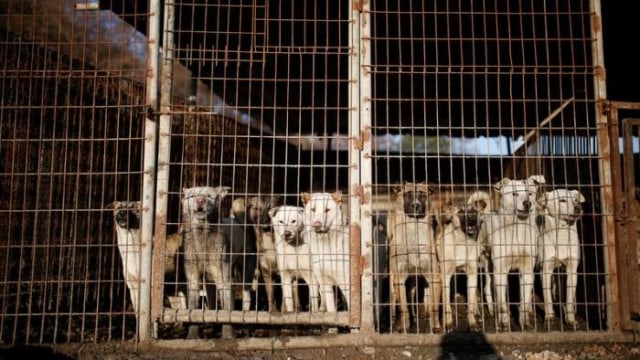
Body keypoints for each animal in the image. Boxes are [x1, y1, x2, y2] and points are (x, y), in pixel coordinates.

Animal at [388, 183, 442, 332]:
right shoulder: (399, 277)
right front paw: (404, 326)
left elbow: (435, 306)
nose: (415, 206)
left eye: (423, 195)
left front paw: (435, 326)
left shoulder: (434, 276)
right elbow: (403, 306)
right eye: (407, 194)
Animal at [436, 202, 484, 330]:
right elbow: (447, 305)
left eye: (474, 211)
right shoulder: (446, 276)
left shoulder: (472, 274)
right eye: (461, 212)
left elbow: (470, 305)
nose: (472, 218)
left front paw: (472, 324)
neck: (463, 243)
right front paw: (448, 323)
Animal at [480, 176, 544, 330]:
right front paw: (504, 323)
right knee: (488, 288)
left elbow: (524, 302)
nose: (527, 203)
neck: (517, 230)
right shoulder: (500, 270)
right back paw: (492, 311)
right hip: (487, 266)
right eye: (514, 194)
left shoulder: (527, 271)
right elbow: (503, 304)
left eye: (530, 194)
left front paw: (524, 323)